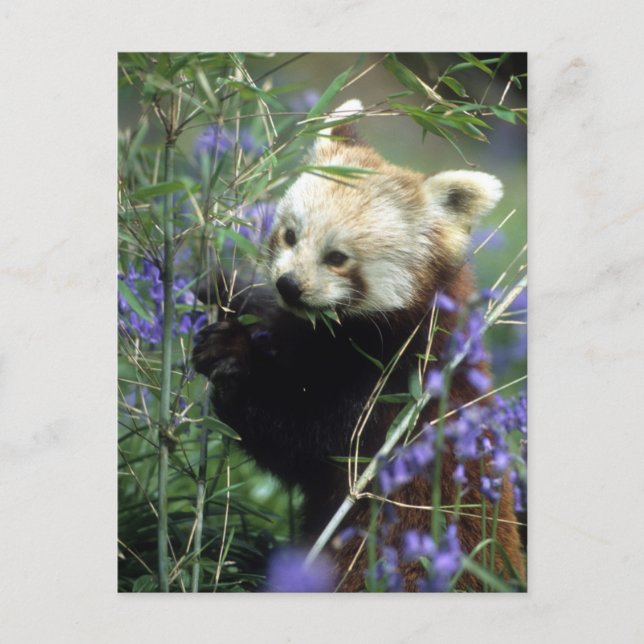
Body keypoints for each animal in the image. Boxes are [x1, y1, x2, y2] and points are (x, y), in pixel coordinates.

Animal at [193, 99, 525, 591]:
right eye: (289, 235)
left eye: (337, 257)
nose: (289, 285)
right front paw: (224, 288)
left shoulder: (396, 396)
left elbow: (299, 440)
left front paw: (233, 356)